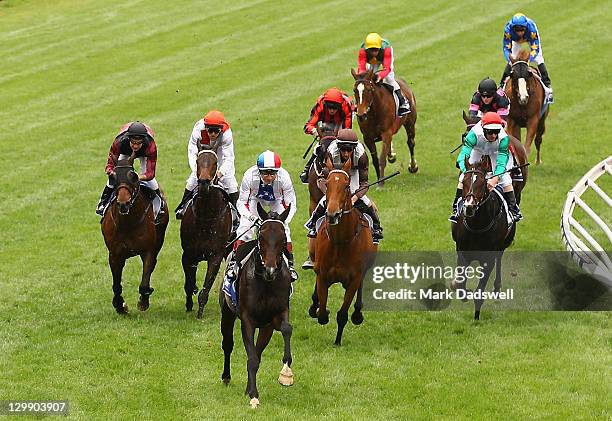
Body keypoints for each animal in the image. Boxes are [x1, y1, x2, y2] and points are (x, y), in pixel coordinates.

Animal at [100, 157, 169, 312]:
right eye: (112, 177)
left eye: (133, 177)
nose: (123, 204)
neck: (127, 224)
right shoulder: (115, 254)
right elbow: (116, 285)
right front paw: (120, 305)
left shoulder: (148, 250)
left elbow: (144, 281)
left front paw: (143, 301)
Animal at [180, 146, 233, 316]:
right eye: (197, 161)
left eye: (215, 162)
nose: (203, 182)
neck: (206, 217)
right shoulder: (188, 254)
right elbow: (189, 284)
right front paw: (189, 304)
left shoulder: (215, 256)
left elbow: (205, 289)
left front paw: (199, 314)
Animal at [221, 203, 296, 406]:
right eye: (261, 237)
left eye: (283, 239)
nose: (270, 270)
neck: (266, 283)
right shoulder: (248, 319)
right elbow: (251, 358)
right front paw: (254, 396)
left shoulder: (277, 314)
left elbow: (286, 329)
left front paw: (286, 373)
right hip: (227, 312)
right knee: (228, 344)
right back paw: (226, 377)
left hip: (266, 328)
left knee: (258, 351)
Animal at [310, 158, 378, 344]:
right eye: (327, 184)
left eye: (347, 186)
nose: (332, 214)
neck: (340, 243)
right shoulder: (322, 276)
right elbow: (322, 313)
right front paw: (320, 309)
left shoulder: (354, 279)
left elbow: (342, 314)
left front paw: (337, 341)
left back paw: (357, 313)